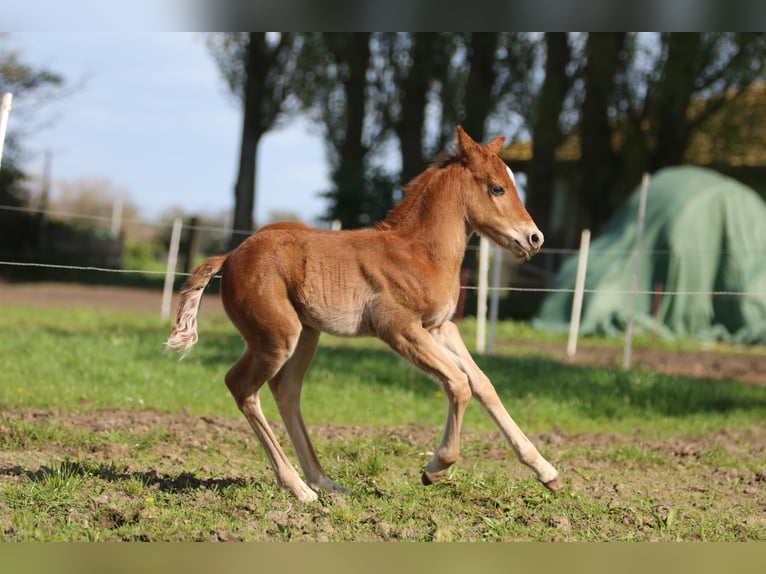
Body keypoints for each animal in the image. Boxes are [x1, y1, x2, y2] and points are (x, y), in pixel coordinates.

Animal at [170, 127, 564, 504]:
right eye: (497, 187)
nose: (534, 238)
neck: (420, 252)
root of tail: (232, 255)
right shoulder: (399, 329)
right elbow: (458, 383)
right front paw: (435, 468)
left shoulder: (440, 327)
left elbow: (482, 384)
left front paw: (547, 472)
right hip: (277, 337)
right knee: (241, 386)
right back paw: (299, 489)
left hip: (306, 333)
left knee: (286, 389)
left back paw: (325, 483)